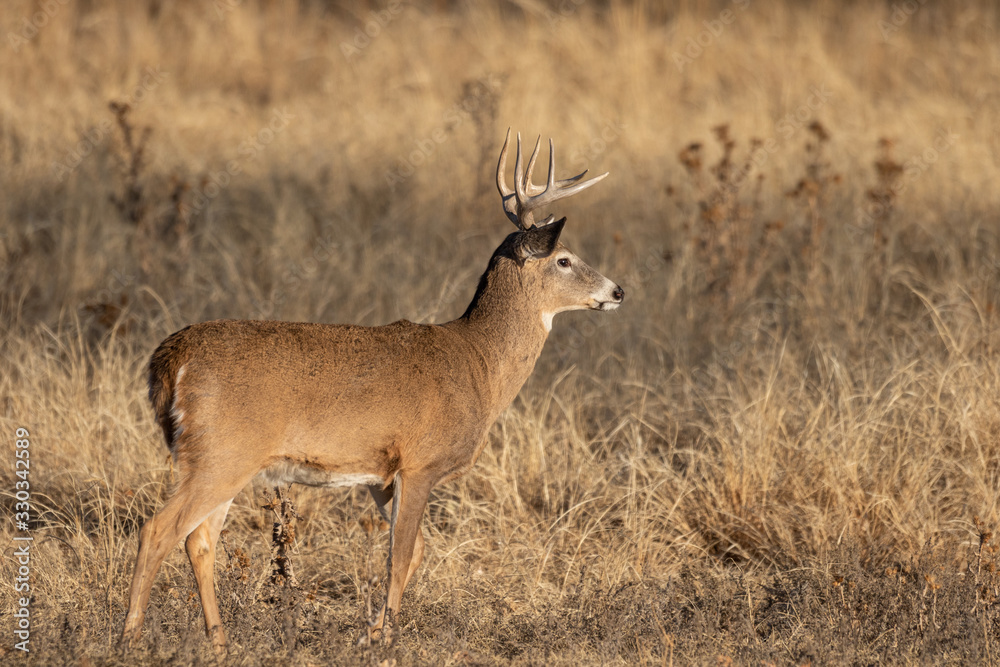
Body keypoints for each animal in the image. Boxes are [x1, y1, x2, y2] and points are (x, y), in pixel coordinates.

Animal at [119, 130, 624, 656]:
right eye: (564, 259)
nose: (617, 291)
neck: (479, 365)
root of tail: (169, 359)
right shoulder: (421, 462)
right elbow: (399, 555)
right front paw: (387, 642)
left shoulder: (381, 474)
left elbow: (413, 550)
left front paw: (372, 633)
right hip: (221, 452)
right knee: (157, 530)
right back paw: (128, 640)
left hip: (226, 459)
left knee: (199, 540)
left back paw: (219, 644)